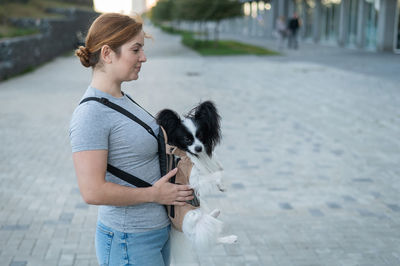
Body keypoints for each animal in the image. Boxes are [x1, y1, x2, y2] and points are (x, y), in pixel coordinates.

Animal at [156, 101, 238, 252]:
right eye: (187, 139)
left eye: (201, 136)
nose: (199, 148)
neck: (192, 156)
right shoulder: (195, 180)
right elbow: (215, 174)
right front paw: (221, 181)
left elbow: (217, 168)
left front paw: (221, 186)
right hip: (195, 218)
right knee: (209, 239)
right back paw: (230, 238)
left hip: (201, 207)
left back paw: (215, 214)